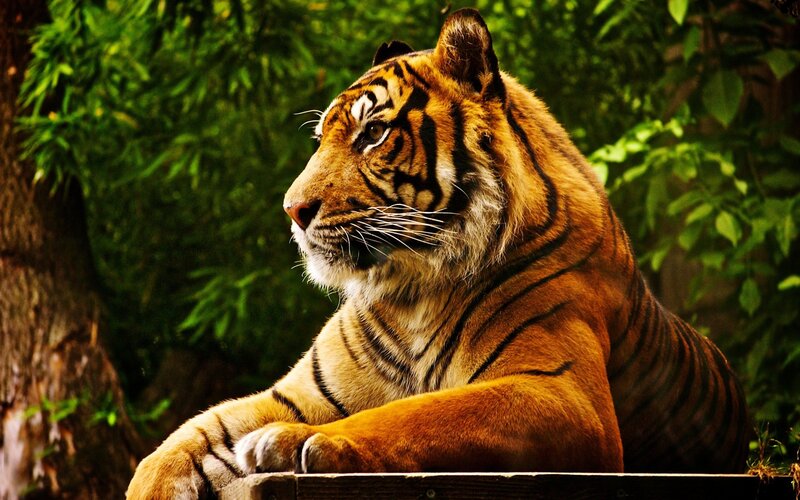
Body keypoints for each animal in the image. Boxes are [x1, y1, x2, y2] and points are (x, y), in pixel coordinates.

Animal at [127, 8, 750, 499]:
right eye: (322, 139)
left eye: (373, 134)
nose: (292, 210)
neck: (410, 289)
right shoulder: (298, 392)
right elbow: (181, 441)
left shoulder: (562, 392)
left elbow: (415, 411)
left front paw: (303, 441)